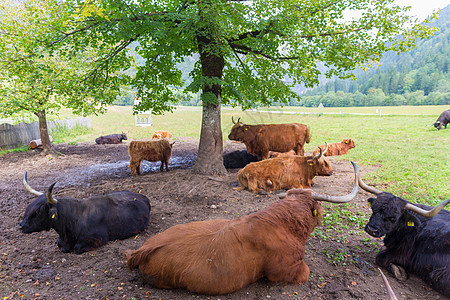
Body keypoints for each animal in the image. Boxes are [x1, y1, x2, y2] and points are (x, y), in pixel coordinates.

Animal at [19, 172, 150, 254]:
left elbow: (77, 248)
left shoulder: (99, 238)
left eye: (38, 211)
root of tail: (140, 195)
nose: (21, 226)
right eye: (29, 207)